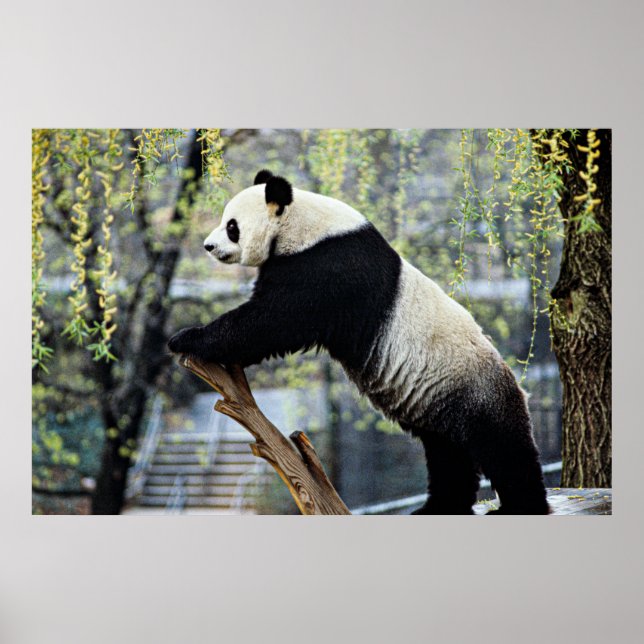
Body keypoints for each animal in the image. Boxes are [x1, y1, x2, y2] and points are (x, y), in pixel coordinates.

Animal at [168, 169, 550, 515]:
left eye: (232, 226)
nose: (208, 246)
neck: (303, 225)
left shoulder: (328, 267)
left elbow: (273, 321)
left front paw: (188, 338)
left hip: (475, 390)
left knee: (502, 447)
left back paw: (521, 505)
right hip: (440, 402)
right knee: (447, 454)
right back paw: (440, 506)